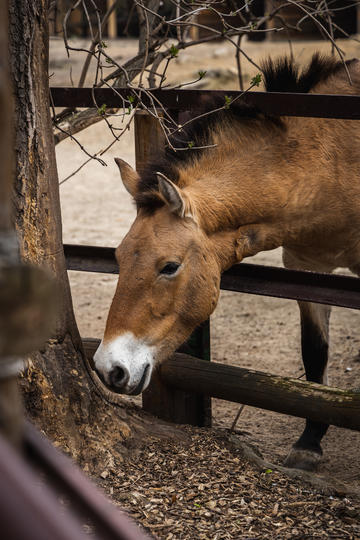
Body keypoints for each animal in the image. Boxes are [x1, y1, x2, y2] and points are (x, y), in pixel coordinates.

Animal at [93, 52, 360, 470]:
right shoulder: (308, 267)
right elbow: (315, 352)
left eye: (169, 266)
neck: (331, 162)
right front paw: (309, 443)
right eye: (118, 257)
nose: (109, 369)